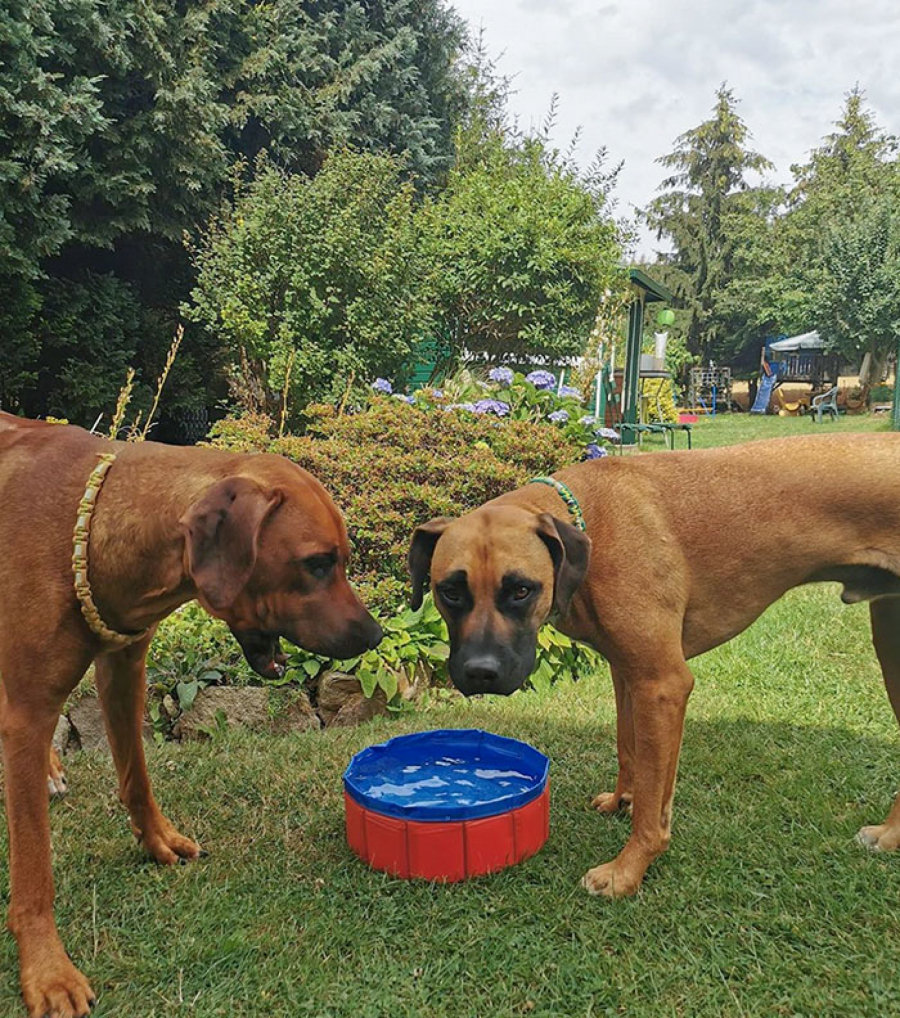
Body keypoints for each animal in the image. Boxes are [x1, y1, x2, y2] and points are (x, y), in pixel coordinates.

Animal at [0, 413, 378, 1018]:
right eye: (318, 563)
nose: (377, 635)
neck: (97, 530)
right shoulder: (30, 710)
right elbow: (33, 866)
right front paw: (47, 970)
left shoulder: (123, 669)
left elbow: (136, 776)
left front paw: (158, 841)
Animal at [411, 431, 900, 899]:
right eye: (449, 592)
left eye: (520, 590)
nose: (481, 672)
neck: (591, 527)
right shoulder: (627, 674)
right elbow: (630, 749)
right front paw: (620, 800)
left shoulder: (662, 684)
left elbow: (651, 798)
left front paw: (627, 871)